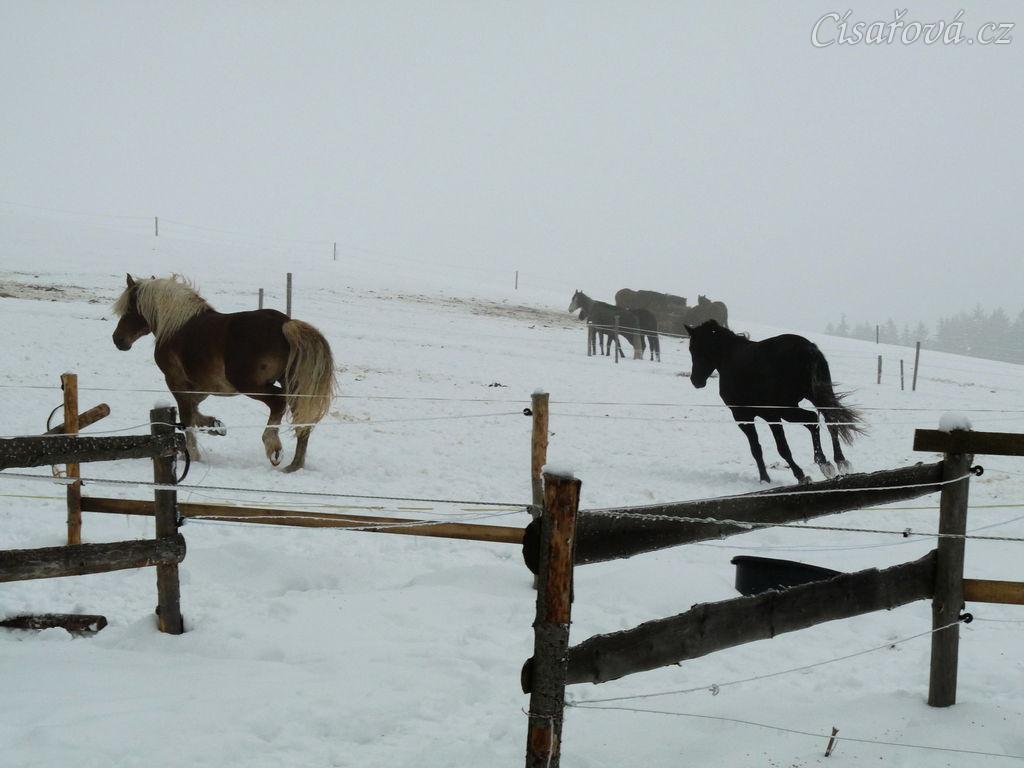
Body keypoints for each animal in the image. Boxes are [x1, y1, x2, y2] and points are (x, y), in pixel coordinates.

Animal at [112, 274, 337, 472]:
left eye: (130, 307)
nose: (118, 339)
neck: (176, 327)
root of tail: (285, 324)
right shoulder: (202, 387)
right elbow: (195, 411)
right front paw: (215, 425)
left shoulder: (176, 382)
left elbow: (186, 418)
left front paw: (193, 454)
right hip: (291, 383)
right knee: (302, 419)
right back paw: (294, 465)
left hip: (251, 385)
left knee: (278, 402)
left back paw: (273, 447)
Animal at [684, 319, 864, 484]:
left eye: (693, 348)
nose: (695, 381)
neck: (729, 358)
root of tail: (809, 349)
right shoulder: (767, 414)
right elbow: (762, 447)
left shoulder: (748, 416)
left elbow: (767, 448)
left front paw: (785, 477)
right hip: (811, 397)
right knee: (828, 420)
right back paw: (838, 461)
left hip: (786, 408)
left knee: (813, 420)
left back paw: (823, 464)